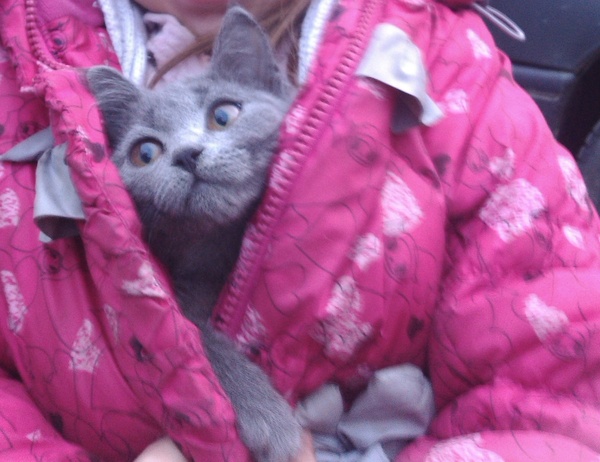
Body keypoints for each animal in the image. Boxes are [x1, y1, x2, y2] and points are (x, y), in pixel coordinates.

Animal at [86, 7, 301, 462]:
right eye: (146, 153)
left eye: (223, 116)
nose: (188, 154)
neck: (220, 250)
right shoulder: (181, 302)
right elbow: (194, 340)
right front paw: (270, 419)